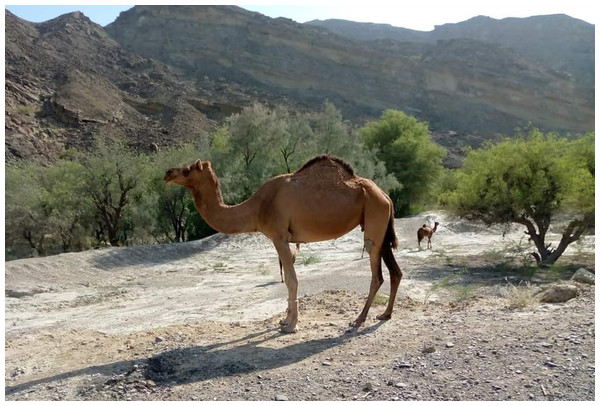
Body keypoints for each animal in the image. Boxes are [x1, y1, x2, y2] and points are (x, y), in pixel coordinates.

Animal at [164, 154, 404, 332]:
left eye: (187, 170)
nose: (167, 173)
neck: (257, 207)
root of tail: (385, 195)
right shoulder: (283, 239)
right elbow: (289, 279)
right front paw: (285, 320)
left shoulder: (278, 236)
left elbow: (291, 280)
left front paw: (291, 324)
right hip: (381, 228)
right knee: (395, 271)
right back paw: (385, 314)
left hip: (374, 218)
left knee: (377, 273)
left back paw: (359, 320)